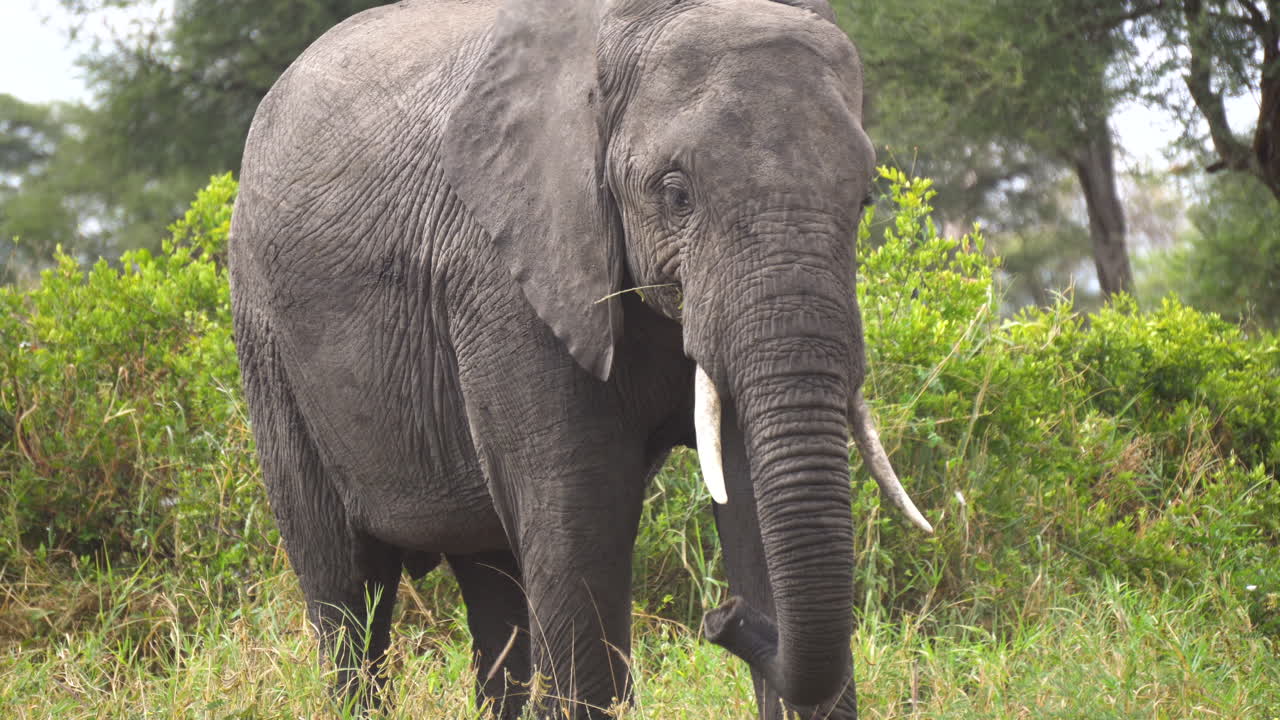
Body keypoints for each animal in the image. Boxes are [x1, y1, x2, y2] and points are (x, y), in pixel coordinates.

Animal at [227, 0, 932, 717]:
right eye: (677, 195)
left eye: (863, 201)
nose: (722, 619)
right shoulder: (509, 276)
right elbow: (580, 517)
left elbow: (750, 500)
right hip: (266, 338)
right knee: (348, 589)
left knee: (492, 580)